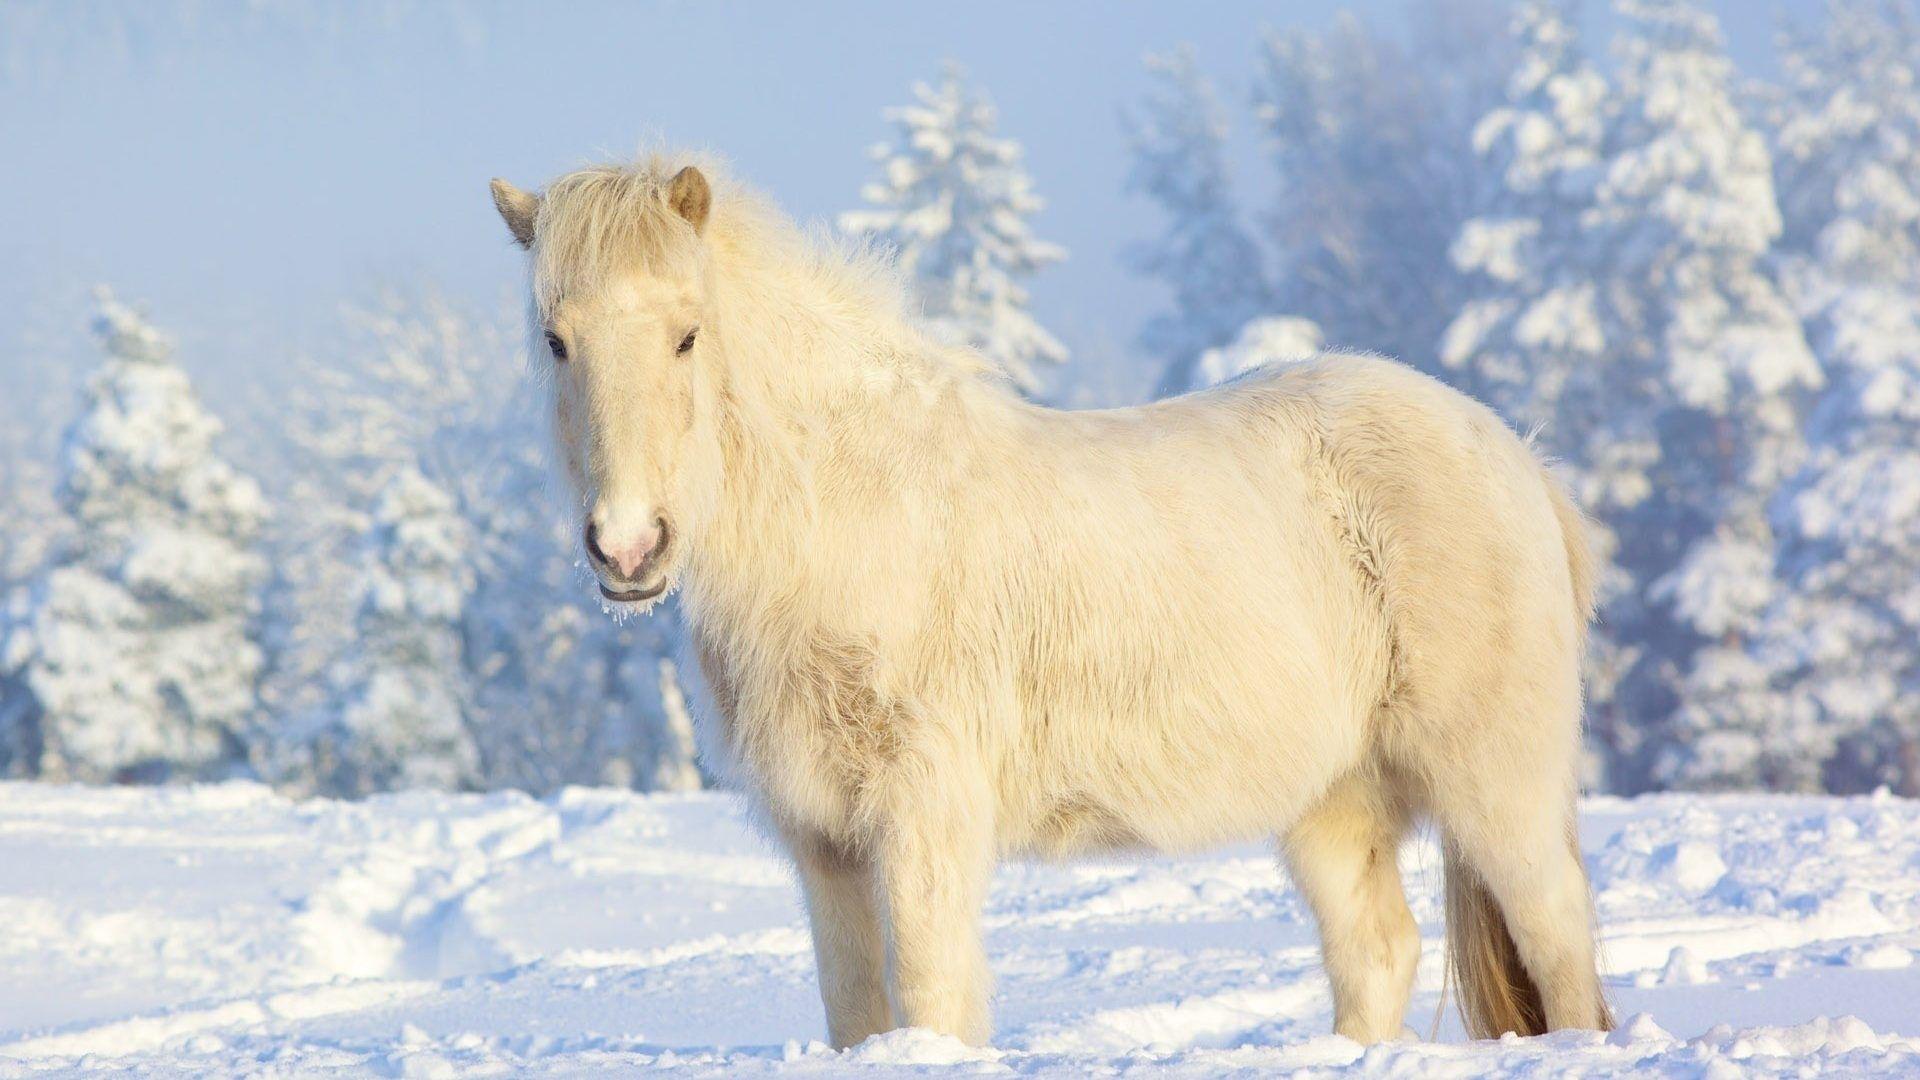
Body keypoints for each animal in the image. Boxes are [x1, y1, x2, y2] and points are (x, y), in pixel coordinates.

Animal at [487, 154, 1613, 1048]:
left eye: (687, 336)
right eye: (554, 340)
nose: (628, 547)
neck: (853, 509)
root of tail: (1518, 457)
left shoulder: (924, 817)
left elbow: (931, 997)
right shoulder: (825, 844)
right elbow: (858, 1009)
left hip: (1494, 782)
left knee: (1558, 934)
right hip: (1334, 801)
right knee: (1377, 952)